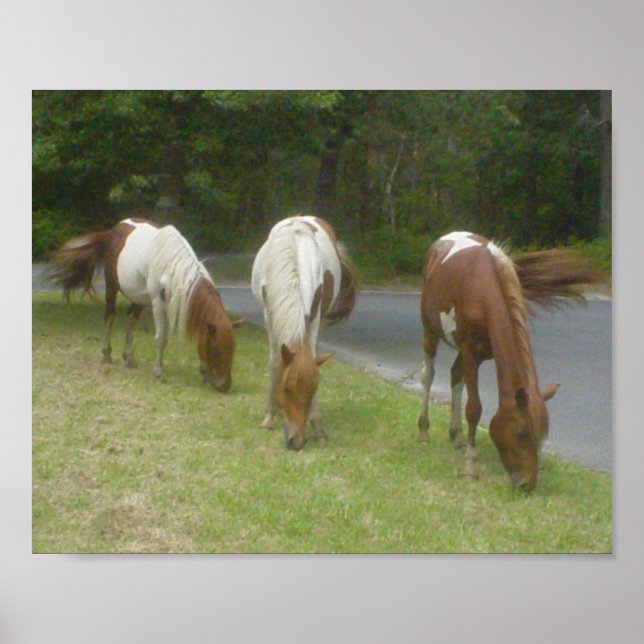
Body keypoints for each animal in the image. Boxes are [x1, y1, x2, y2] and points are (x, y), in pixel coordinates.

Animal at [47, 217, 243, 392]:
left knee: (131, 319)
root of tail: (112, 231)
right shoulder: (158, 303)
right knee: (110, 316)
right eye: (215, 348)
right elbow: (161, 338)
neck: (172, 267)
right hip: (112, 286)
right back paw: (107, 355)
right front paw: (158, 371)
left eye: (233, 348)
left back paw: (128, 358)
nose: (225, 385)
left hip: (138, 297)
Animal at [251, 215, 358, 450]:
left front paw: (317, 426)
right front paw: (269, 417)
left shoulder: (314, 316)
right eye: (287, 389)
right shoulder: (269, 313)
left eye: (313, 391)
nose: (297, 441)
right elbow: (275, 362)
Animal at [417, 231, 603, 491]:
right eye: (521, 434)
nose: (527, 484)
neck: (482, 291)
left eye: (541, 436)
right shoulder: (470, 351)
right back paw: (423, 432)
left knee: (455, 377)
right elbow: (474, 409)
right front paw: (470, 467)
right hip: (430, 331)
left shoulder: (481, 353)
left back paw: (458, 436)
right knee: (428, 375)